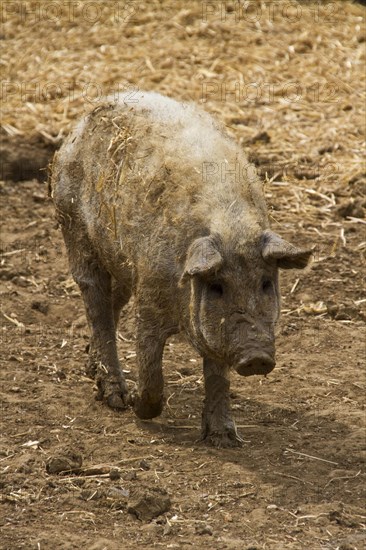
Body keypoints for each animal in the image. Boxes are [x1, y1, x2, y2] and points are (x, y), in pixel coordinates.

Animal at [50, 91, 312, 448]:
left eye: (265, 284)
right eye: (217, 287)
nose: (257, 357)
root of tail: (77, 128)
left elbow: (217, 377)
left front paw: (225, 440)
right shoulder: (149, 298)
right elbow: (151, 369)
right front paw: (138, 406)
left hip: (120, 261)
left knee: (113, 301)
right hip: (75, 230)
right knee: (96, 302)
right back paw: (116, 398)